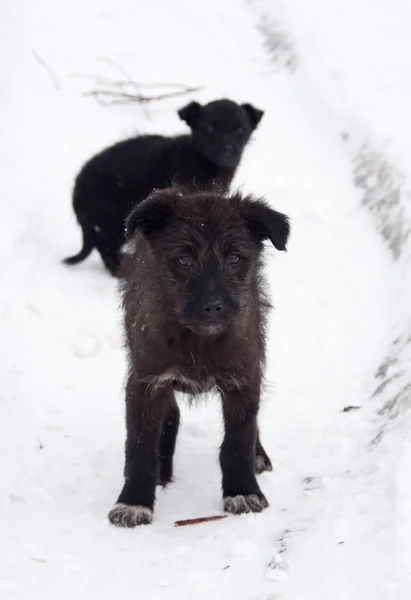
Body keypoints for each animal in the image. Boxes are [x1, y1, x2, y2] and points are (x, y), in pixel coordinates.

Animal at [63, 99, 264, 276]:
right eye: (210, 128)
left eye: (240, 129)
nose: (228, 149)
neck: (200, 160)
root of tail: (76, 195)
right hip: (113, 221)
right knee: (105, 247)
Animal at [108, 186, 292, 524]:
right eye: (183, 260)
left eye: (235, 258)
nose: (213, 306)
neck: (198, 339)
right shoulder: (145, 382)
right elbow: (139, 446)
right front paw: (134, 501)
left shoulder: (243, 378)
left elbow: (239, 439)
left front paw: (243, 490)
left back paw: (258, 456)